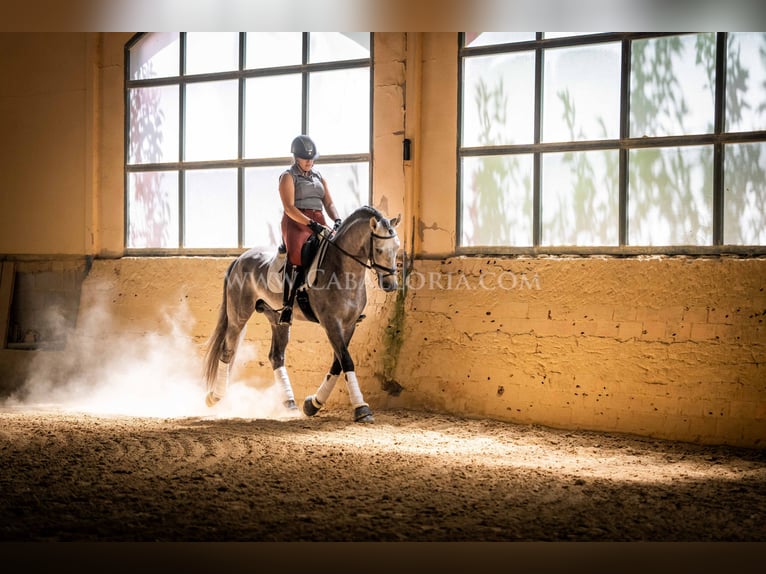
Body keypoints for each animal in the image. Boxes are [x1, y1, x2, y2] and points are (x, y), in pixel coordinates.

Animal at [202, 206, 402, 424]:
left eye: (397, 247)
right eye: (379, 250)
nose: (391, 285)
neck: (342, 270)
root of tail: (239, 259)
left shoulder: (349, 325)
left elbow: (338, 363)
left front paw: (313, 404)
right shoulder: (331, 323)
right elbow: (346, 361)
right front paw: (362, 408)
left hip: (277, 318)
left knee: (276, 356)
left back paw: (289, 403)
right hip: (238, 315)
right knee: (227, 351)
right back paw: (215, 396)